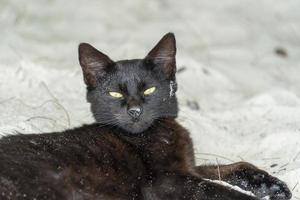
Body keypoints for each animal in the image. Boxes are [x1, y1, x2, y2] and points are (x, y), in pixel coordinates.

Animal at [0, 33, 292, 199]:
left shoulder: (188, 167)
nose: (134, 111)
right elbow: (218, 190)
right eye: (115, 93)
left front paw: (271, 184)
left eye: (149, 89)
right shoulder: (168, 182)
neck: (156, 133)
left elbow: (233, 166)